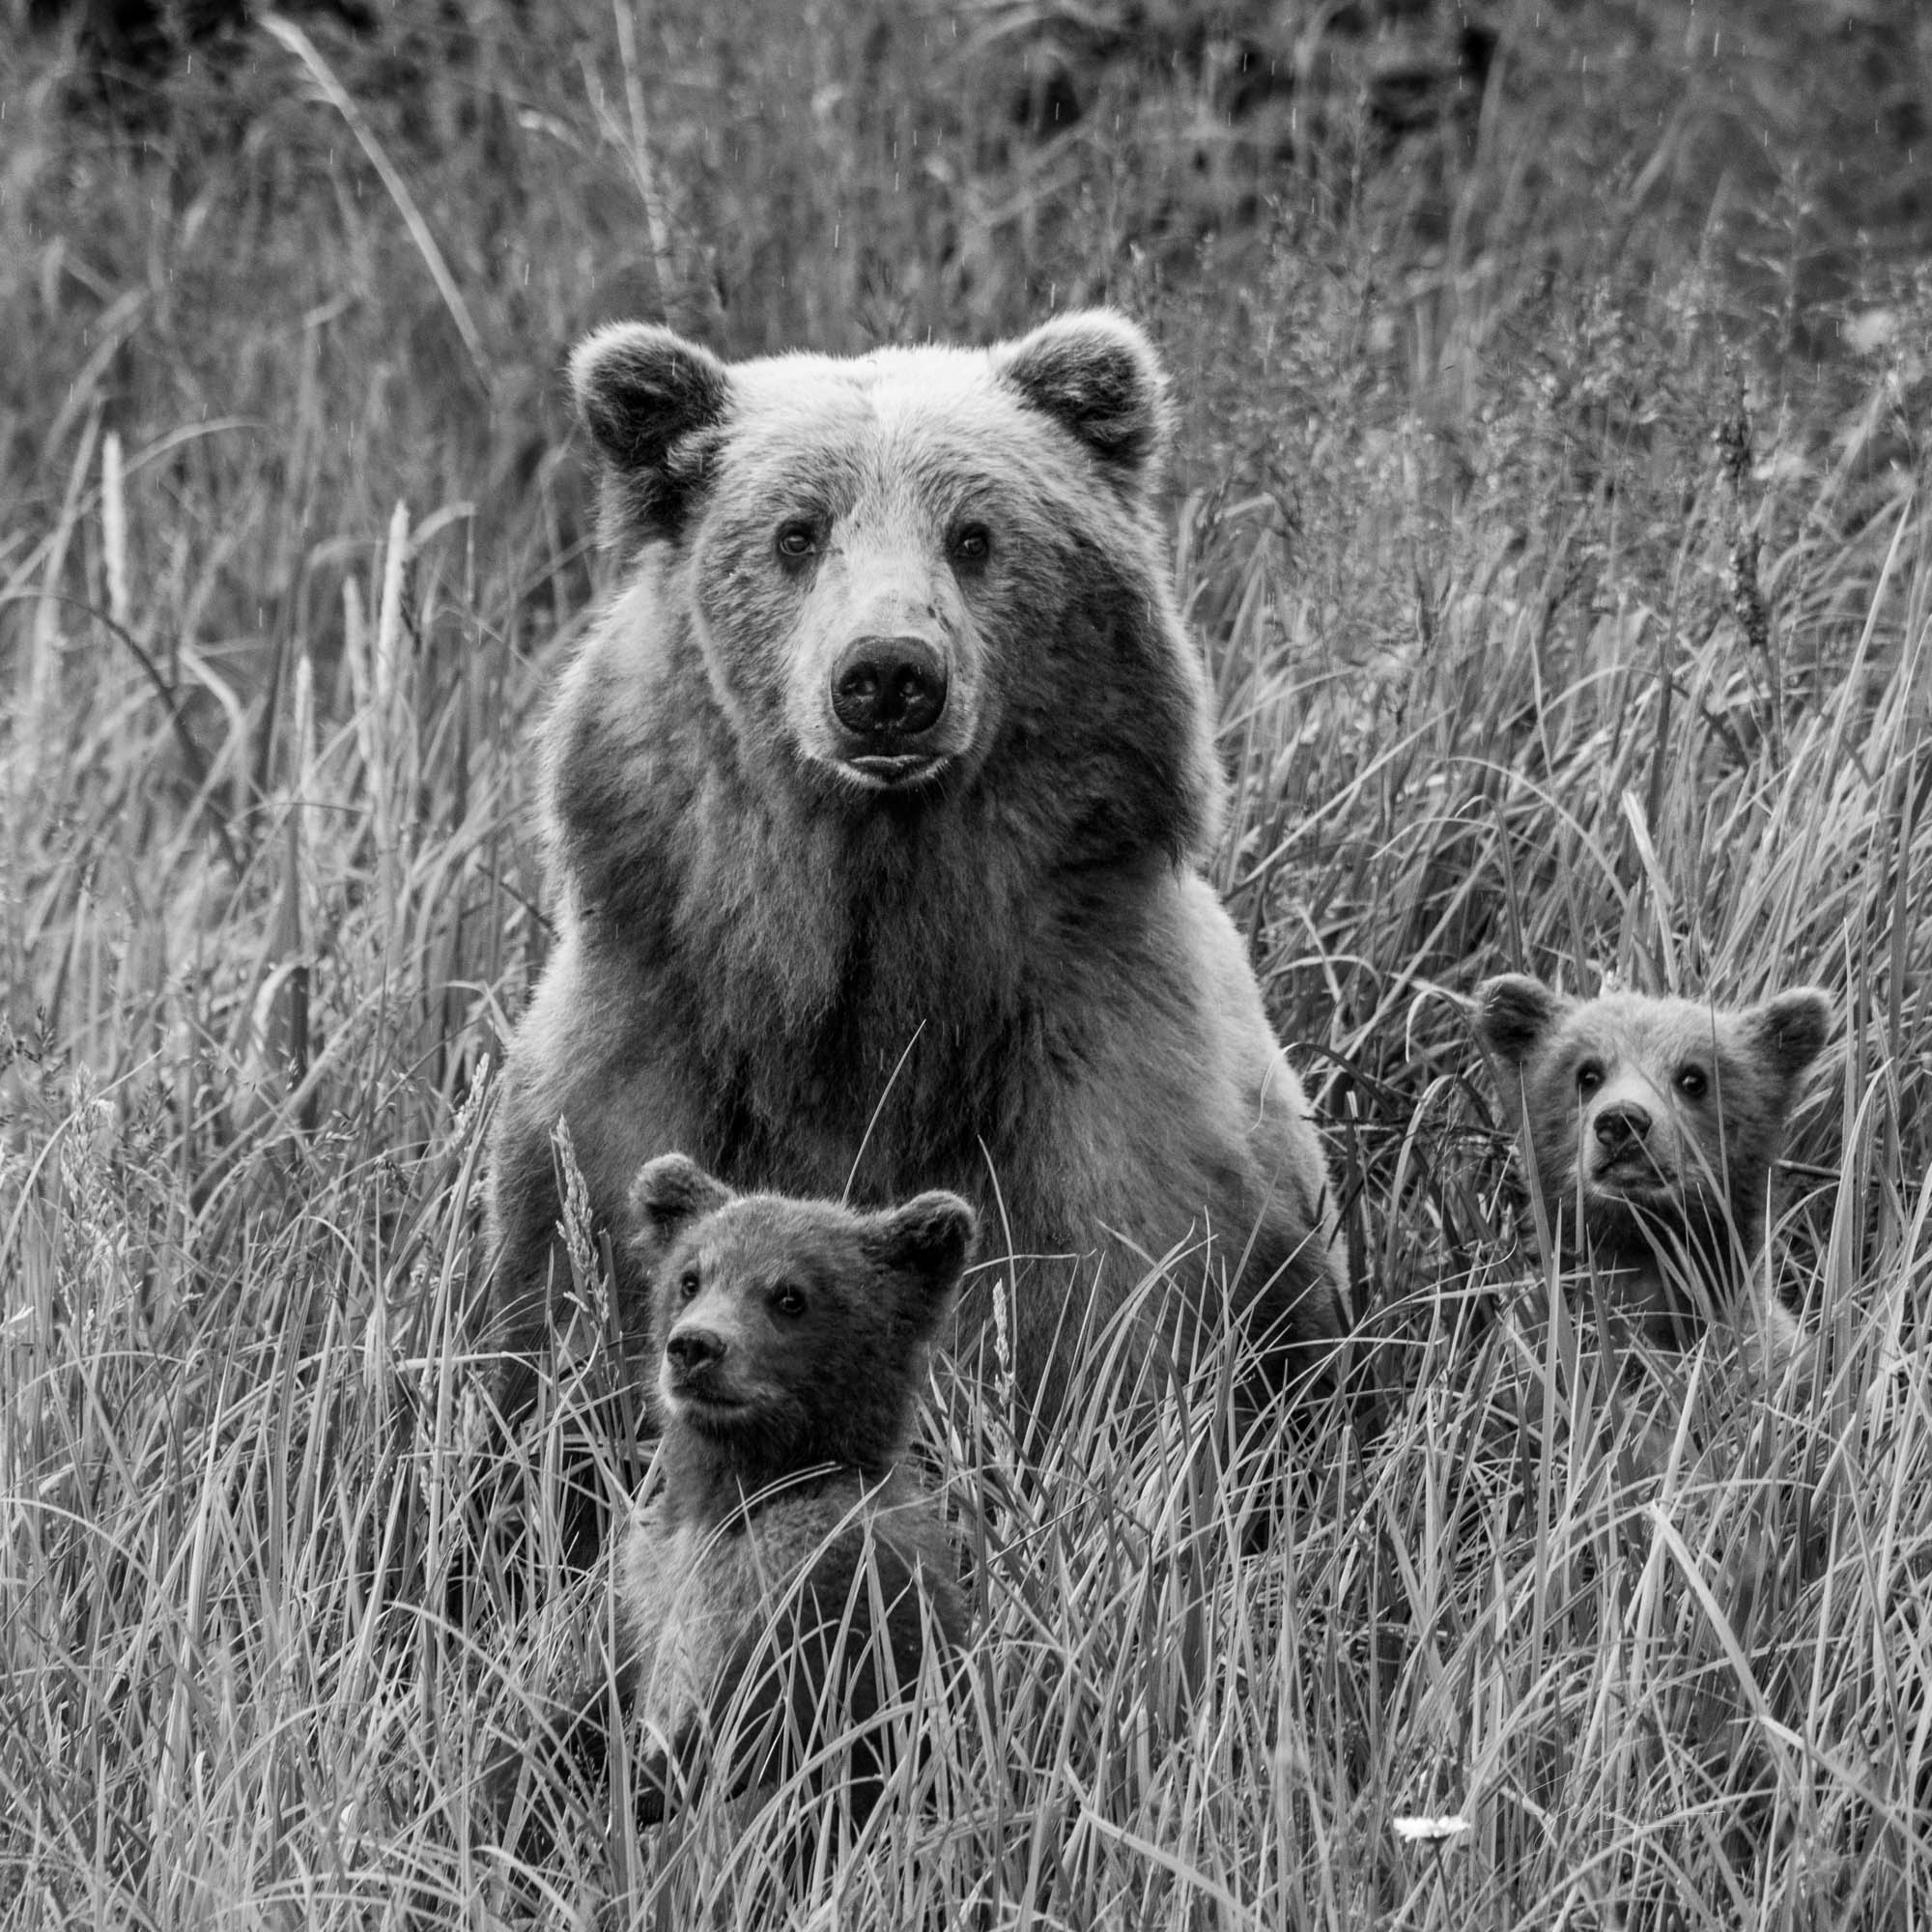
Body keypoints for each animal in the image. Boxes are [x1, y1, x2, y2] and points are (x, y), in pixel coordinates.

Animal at [487, 309, 1345, 1430]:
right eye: (797, 532)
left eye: (973, 535)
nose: (889, 675)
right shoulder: (650, 1032)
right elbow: (575, 1277)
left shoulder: (1087, 1063)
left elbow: (1110, 1305)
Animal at [495, 1151, 966, 1847]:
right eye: (691, 1277)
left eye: (791, 1295)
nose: (696, 1346)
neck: (736, 1494)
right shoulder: (645, 1586)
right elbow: (592, 1703)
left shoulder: (839, 1583)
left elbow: (759, 1743)